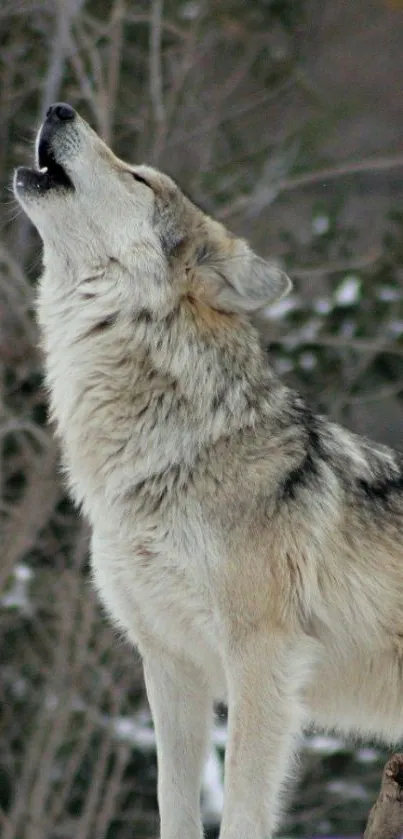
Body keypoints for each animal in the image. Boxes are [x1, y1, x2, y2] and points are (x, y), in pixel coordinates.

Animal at [14, 103, 403, 839]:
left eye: (138, 177)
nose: (59, 108)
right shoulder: (170, 664)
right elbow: (174, 800)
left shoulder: (262, 657)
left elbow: (245, 809)